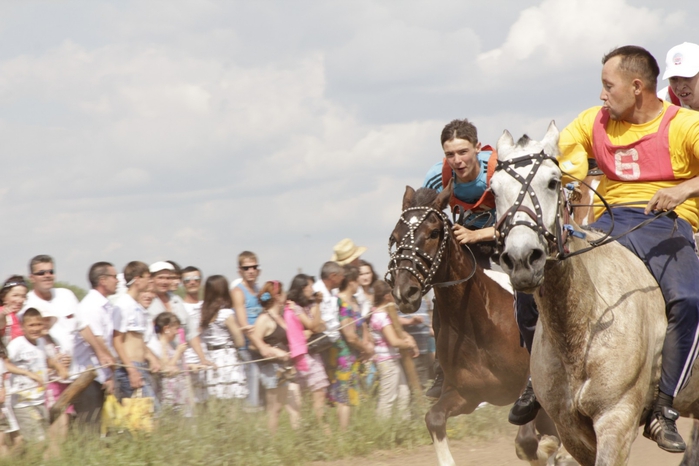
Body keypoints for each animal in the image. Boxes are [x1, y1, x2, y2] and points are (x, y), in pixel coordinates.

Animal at [386, 182, 572, 466]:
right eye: (395, 237)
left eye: (433, 233)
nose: (404, 292)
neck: (476, 326)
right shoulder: (466, 395)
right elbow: (434, 419)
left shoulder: (528, 392)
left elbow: (528, 441)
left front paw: (552, 448)